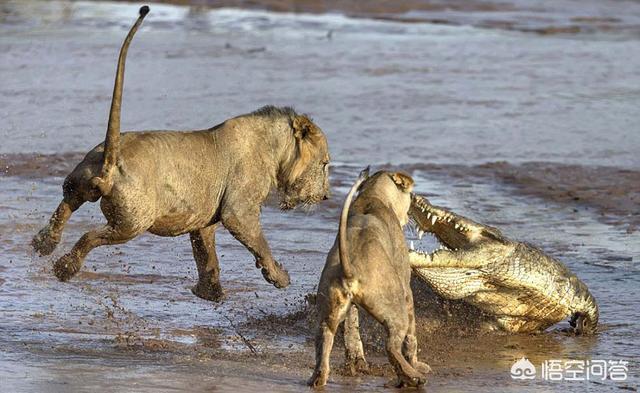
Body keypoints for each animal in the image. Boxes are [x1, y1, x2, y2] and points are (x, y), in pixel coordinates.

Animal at [30, 5, 330, 300]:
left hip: (79, 181)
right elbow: (257, 241)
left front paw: (210, 293)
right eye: (325, 164)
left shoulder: (204, 216)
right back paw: (65, 267)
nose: (326, 196)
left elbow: (206, 254)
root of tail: (110, 162)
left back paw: (43, 244)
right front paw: (280, 278)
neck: (274, 147)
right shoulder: (239, 209)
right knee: (90, 236)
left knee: (65, 206)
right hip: (133, 222)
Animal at [308, 167, 430, 388]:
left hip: (327, 312)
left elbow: (352, 328)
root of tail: (350, 271)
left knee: (324, 342)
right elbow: (412, 337)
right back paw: (413, 376)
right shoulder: (407, 288)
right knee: (392, 346)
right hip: (396, 307)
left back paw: (318, 379)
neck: (372, 195)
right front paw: (417, 364)